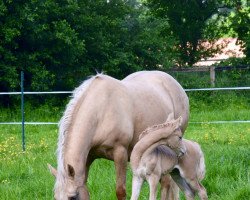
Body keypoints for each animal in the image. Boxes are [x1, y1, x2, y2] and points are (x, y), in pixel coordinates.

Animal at [48, 71, 189, 199]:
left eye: (72, 197)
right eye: (55, 197)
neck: (101, 112)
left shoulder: (120, 154)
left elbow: (120, 191)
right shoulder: (88, 157)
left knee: (166, 183)